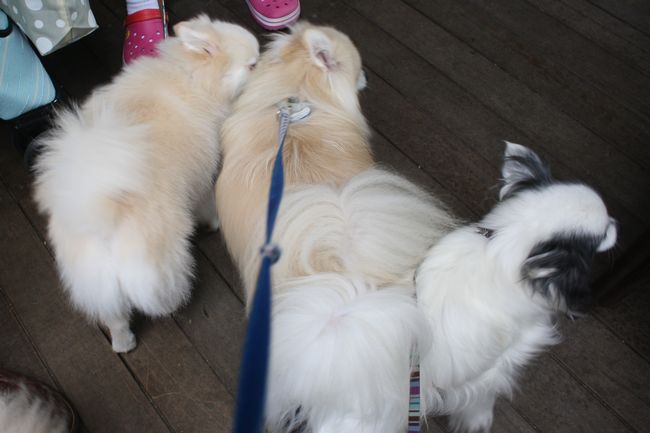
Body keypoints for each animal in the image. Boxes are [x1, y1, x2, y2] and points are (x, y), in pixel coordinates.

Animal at [33, 15, 259, 353]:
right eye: (253, 65)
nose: (268, 64)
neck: (189, 76)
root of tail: (102, 217)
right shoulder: (203, 179)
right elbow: (207, 205)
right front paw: (214, 223)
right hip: (161, 261)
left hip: (96, 279)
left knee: (114, 317)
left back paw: (123, 343)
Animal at [416, 142, 617, 432]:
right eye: (601, 236)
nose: (615, 224)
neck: (508, 241)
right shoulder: (505, 356)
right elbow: (482, 396)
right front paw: (477, 420)